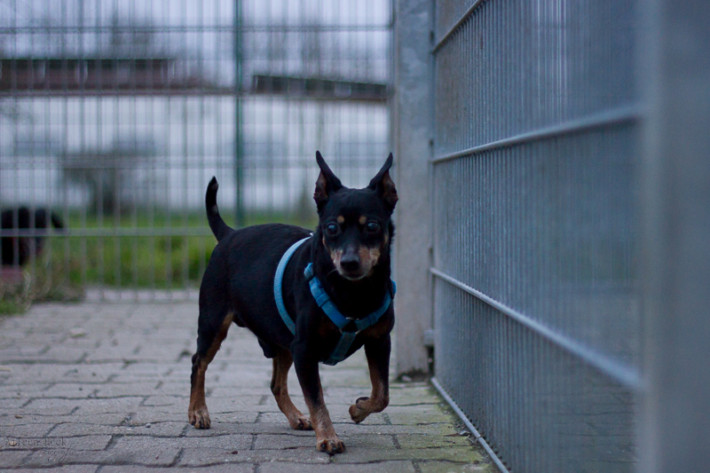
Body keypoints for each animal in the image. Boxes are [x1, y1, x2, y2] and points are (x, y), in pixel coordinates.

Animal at [189, 151, 398, 454]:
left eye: (372, 226)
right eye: (331, 228)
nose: (349, 262)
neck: (351, 292)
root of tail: (228, 234)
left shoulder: (380, 340)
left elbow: (382, 394)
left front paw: (358, 410)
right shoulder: (305, 349)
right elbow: (317, 399)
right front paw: (328, 437)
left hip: (283, 342)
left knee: (276, 384)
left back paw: (296, 417)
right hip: (213, 323)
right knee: (199, 362)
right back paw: (197, 411)